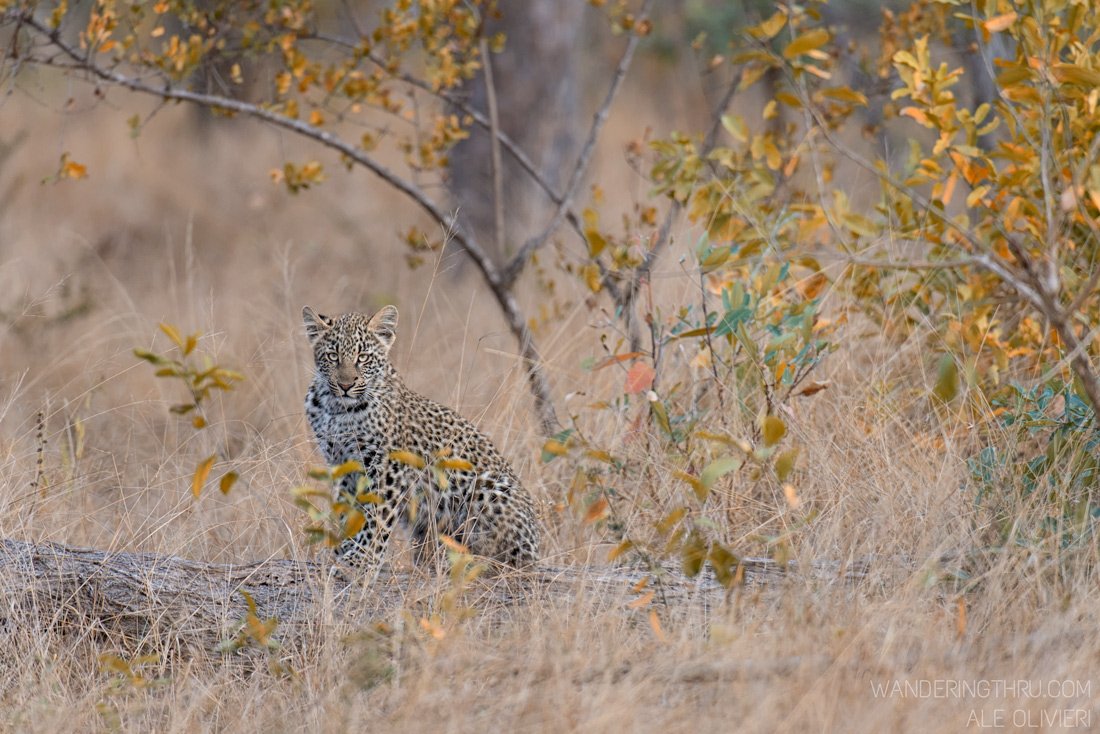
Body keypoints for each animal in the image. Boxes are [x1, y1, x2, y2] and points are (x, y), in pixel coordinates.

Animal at [302, 304, 539, 577]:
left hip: (487, 490)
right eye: (333, 356)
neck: (336, 409)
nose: (345, 385)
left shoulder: (387, 466)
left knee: (503, 559)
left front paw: (362, 559)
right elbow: (347, 511)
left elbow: (376, 515)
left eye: (363, 357)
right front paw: (343, 550)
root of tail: (537, 549)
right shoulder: (341, 463)